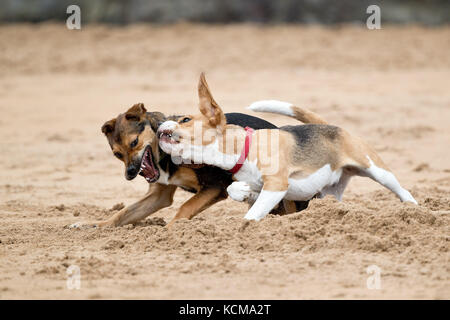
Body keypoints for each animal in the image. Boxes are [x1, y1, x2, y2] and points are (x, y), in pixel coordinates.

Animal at [158, 74, 418, 221]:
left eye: (185, 120)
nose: (161, 124)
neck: (246, 147)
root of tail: (330, 127)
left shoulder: (276, 185)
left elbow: (252, 215)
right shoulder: (263, 187)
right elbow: (237, 191)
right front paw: (241, 191)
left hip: (377, 170)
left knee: (403, 191)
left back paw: (415, 210)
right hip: (330, 192)